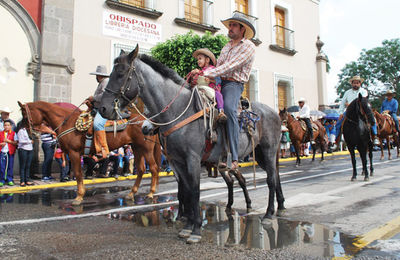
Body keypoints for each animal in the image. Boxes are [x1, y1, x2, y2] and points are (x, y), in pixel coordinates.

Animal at [17, 101, 161, 205]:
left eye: (25, 114)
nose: (25, 131)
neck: (66, 122)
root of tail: (148, 122)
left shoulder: (74, 153)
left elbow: (78, 174)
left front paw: (79, 197)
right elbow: (79, 173)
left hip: (146, 149)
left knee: (153, 168)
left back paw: (151, 193)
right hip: (137, 148)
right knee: (141, 169)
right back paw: (131, 194)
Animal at [101, 45, 288, 244]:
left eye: (120, 73)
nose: (103, 108)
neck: (180, 111)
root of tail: (273, 113)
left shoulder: (192, 159)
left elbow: (194, 191)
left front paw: (196, 230)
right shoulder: (178, 162)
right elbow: (186, 191)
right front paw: (187, 225)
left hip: (268, 151)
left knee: (270, 180)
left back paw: (268, 214)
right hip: (259, 155)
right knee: (274, 177)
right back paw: (279, 206)